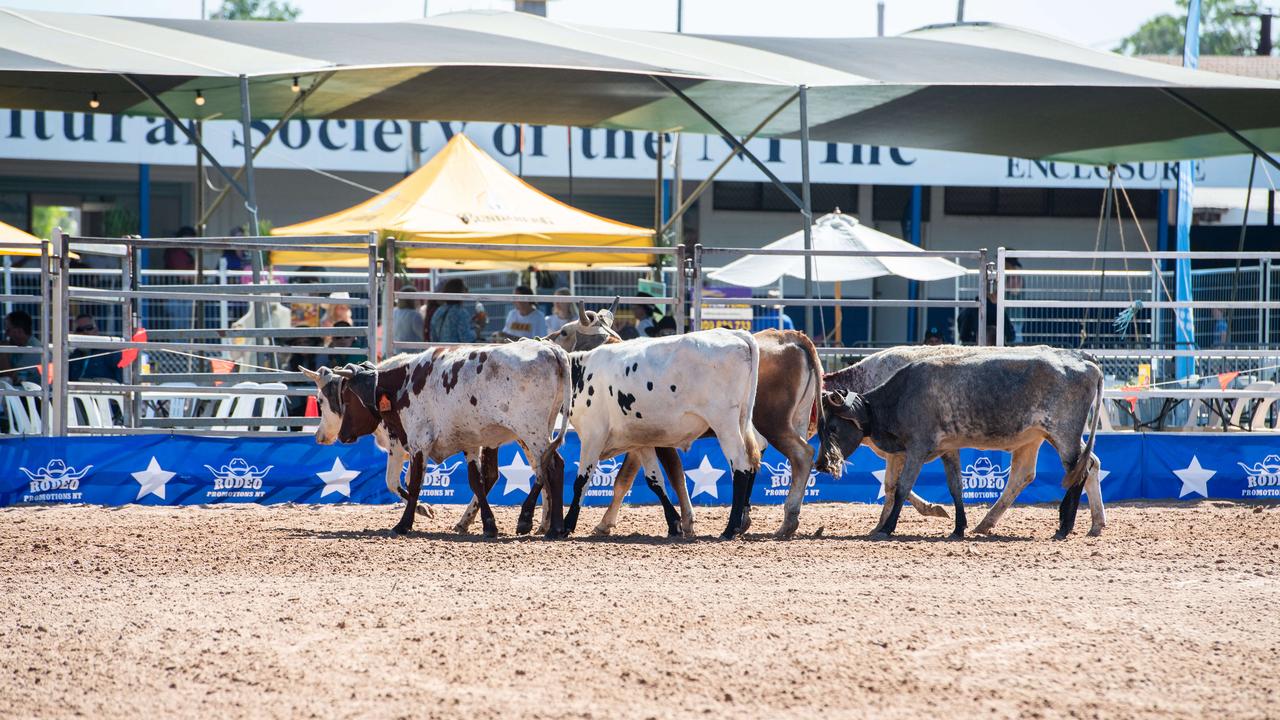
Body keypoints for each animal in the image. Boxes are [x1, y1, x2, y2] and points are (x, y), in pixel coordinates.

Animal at [302, 338, 568, 535]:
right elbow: (476, 480)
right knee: (545, 468)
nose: (337, 435)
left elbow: (410, 482)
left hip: (530, 430)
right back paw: (550, 525)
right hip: (538, 431)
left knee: (551, 466)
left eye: (324, 401)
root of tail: (550, 349)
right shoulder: (470, 442)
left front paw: (405, 523)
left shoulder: (415, 442)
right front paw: (488, 524)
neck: (404, 382)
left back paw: (542, 523)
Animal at [550, 327, 757, 535]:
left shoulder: (593, 436)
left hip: (725, 425)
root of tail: (736, 334)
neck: (581, 373)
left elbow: (581, 481)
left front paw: (568, 524)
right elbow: (654, 480)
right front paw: (674, 523)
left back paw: (731, 528)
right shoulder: (640, 442)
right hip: (740, 422)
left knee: (740, 466)